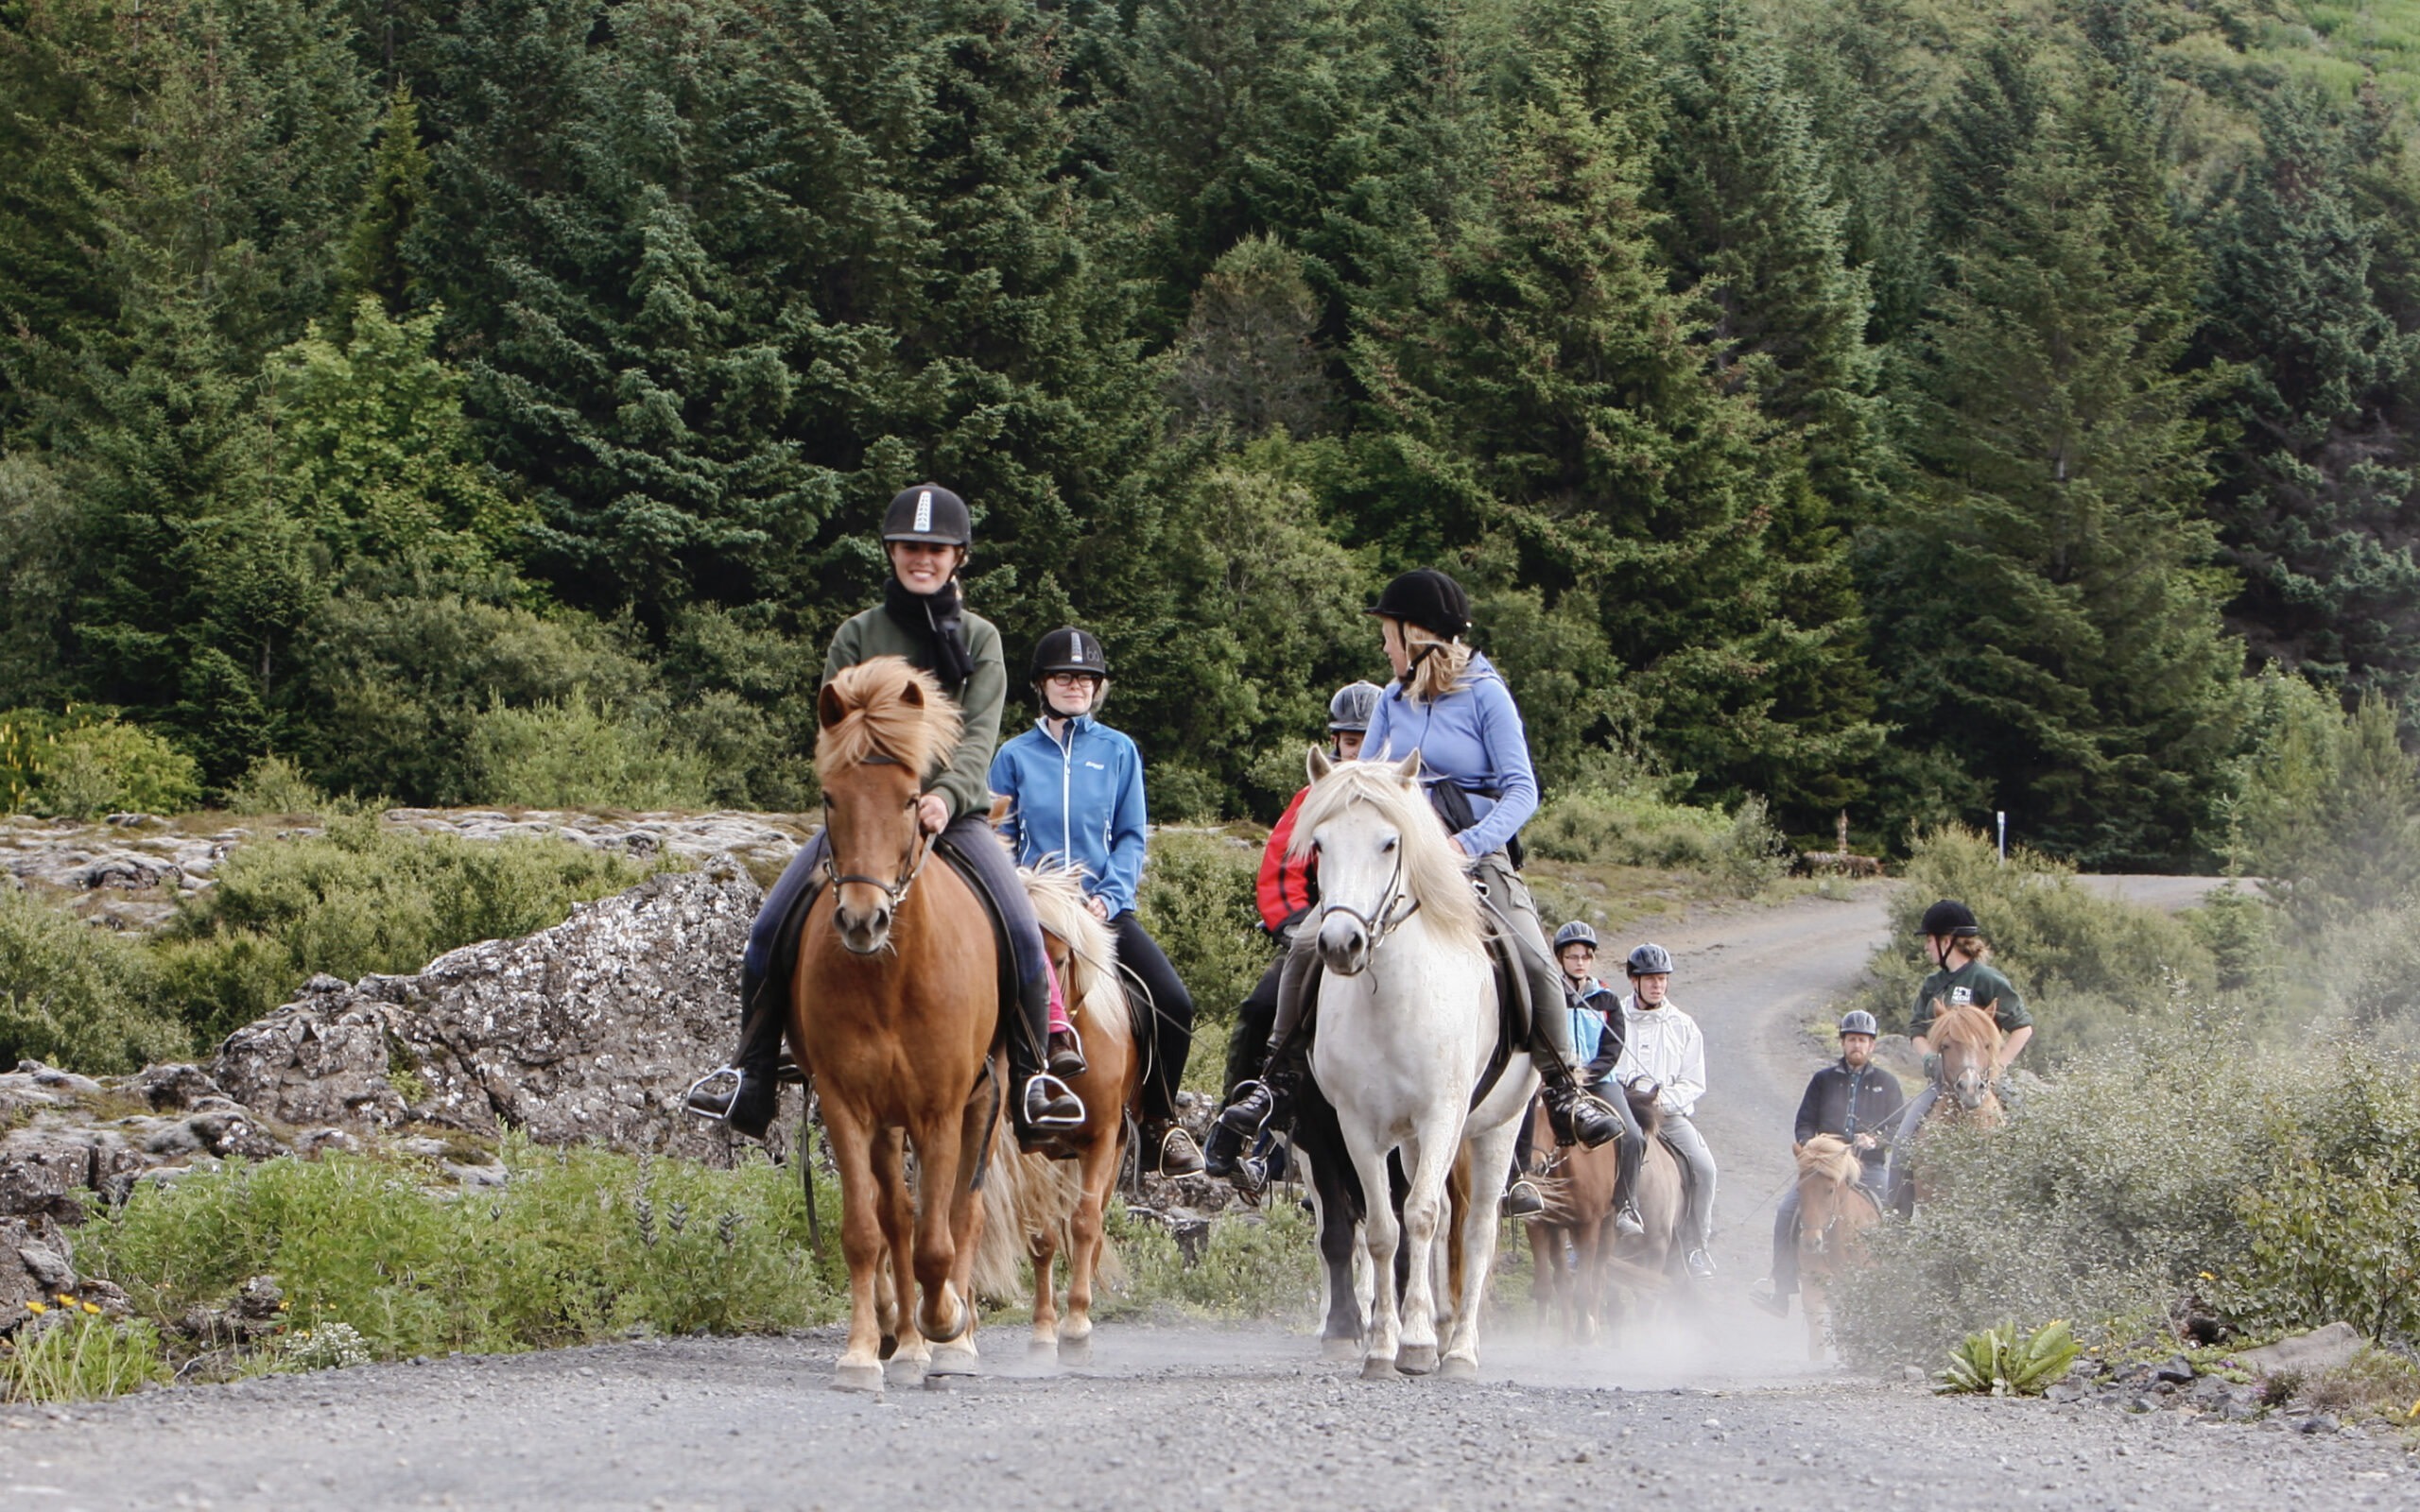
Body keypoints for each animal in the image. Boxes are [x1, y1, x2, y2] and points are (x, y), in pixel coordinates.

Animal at [793, 657, 1031, 1391]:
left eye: (907, 799)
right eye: (831, 797)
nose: (861, 921)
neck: (888, 980)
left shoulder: (942, 1109)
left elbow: (937, 1238)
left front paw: (945, 1323)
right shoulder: (847, 1105)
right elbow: (868, 1229)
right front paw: (864, 1351)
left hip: (982, 1103)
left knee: (961, 1215)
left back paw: (952, 1337)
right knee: (898, 1215)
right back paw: (904, 1339)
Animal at [971, 867, 1134, 1364]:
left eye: (1059, 960)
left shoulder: (1103, 1138)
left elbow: (1085, 1224)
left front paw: (1077, 1323)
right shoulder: (1033, 1149)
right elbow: (1042, 1239)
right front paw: (1045, 1328)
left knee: (1092, 1220)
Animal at [1292, 747, 1536, 1379]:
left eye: (1388, 843)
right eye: (1319, 844)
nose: (1341, 944)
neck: (1393, 1000)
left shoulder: (1441, 1115)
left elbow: (1421, 1216)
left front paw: (1420, 1346)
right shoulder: (1357, 1128)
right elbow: (1384, 1230)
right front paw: (1383, 1346)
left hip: (1495, 1128)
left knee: (1476, 1231)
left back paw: (1461, 1348)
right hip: (1410, 1142)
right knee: (1444, 1217)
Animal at [1522, 1098, 1620, 1343]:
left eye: (1550, 1115)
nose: (1534, 1167)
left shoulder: (1589, 1225)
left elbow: (1585, 1287)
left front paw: (1586, 1333)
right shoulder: (1538, 1225)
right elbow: (1545, 1286)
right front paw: (1541, 1338)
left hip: (1606, 1226)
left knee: (1598, 1275)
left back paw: (1592, 1327)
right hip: (1560, 1230)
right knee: (1563, 1279)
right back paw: (1567, 1335)